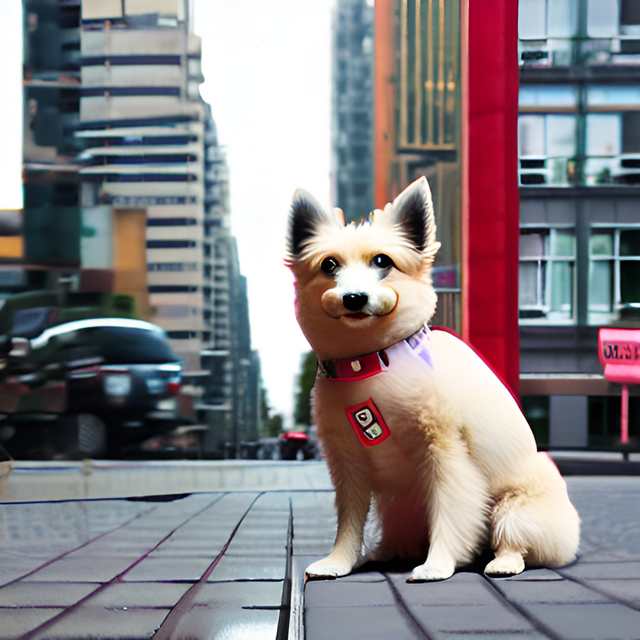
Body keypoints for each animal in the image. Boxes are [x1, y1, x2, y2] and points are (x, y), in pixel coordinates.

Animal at [284, 178, 580, 584]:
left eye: (382, 262)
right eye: (329, 264)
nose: (354, 297)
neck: (371, 362)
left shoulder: (445, 453)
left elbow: (450, 513)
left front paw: (437, 564)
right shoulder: (346, 462)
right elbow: (349, 520)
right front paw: (338, 562)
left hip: (515, 508)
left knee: (513, 539)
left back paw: (502, 561)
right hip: (401, 506)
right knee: (400, 535)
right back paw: (383, 552)